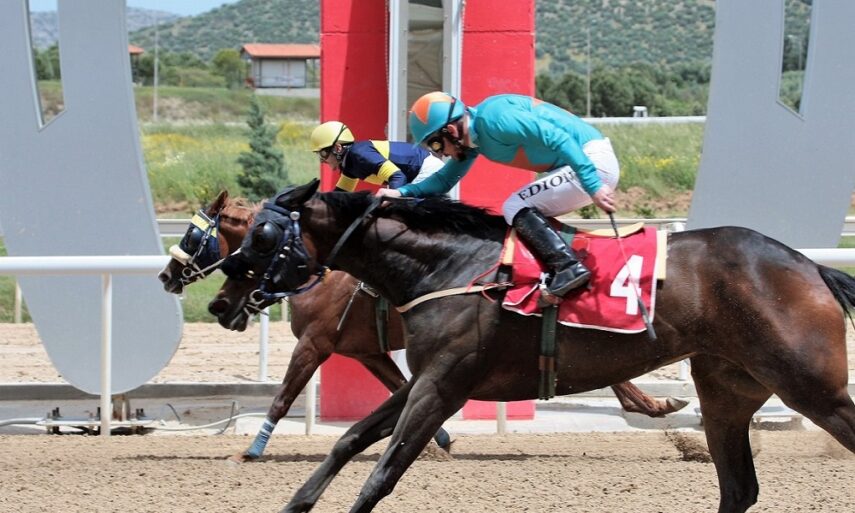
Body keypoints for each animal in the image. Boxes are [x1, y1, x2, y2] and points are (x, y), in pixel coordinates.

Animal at [158, 191, 687, 462]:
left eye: (192, 235)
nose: (219, 305)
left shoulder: (314, 343)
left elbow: (284, 396)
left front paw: (254, 448)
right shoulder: (367, 351)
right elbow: (400, 386)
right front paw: (441, 438)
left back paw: (658, 407)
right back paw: (659, 405)